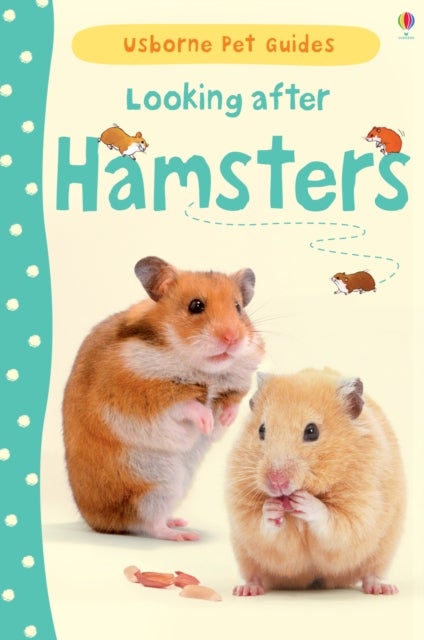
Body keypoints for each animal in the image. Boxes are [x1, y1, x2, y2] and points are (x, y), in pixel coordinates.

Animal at [62, 256, 264, 541]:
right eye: (195, 305)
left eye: (238, 308)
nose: (233, 339)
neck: (204, 369)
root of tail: (98, 523)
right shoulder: (143, 395)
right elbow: (186, 405)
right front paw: (207, 423)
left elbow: (232, 401)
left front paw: (224, 419)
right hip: (154, 484)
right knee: (148, 523)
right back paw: (184, 535)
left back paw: (179, 522)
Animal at [227, 368, 405, 596]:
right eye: (261, 430)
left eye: (312, 431)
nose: (276, 482)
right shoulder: (242, 511)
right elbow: (258, 523)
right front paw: (272, 507)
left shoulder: (362, 506)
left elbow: (332, 519)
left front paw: (304, 501)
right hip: (245, 555)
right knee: (256, 575)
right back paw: (246, 590)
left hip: (383, 550)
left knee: (371, 572)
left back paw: (382, 589)